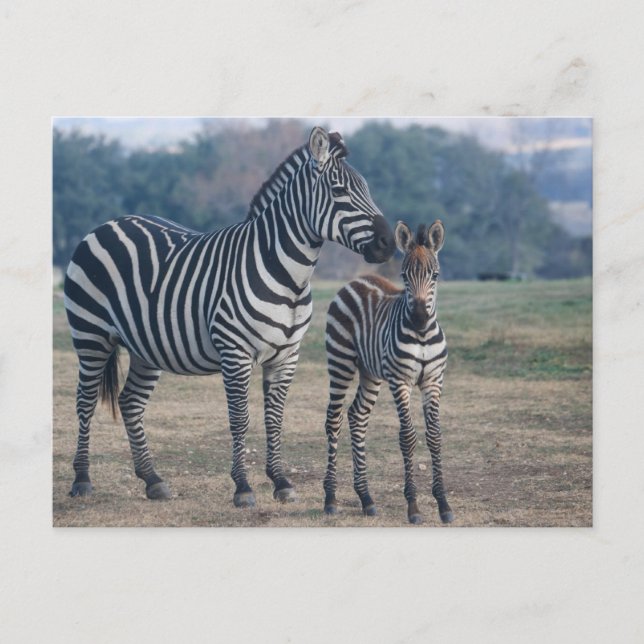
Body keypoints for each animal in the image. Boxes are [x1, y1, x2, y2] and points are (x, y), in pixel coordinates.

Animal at [64, 126, 395, 508]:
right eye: (340, 191)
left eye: (367, 189)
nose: (389, 243)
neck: (288, 275)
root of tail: (107, 224)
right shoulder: (235, 353)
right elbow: (240, 419)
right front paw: (243, 487)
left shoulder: (287, 356)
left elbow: (275, 418)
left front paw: (281, 481)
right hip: (90, 336)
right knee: (85, 401)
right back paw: (82, 479)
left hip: (145, 347)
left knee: (130, 403)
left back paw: (153, 480)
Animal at [322, 219, 453, 524]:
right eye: (404, 276)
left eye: (435, 275)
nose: (419, 318)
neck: (422, 336)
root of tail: (356, 281)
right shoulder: (400, 381)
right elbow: (407, 437)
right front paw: (413, 507)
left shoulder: (433, 381)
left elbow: (434, 436)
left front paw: (443, 504)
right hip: (340, 362)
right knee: (334, 420)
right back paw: (331, 498)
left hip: (370, 372)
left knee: (357, 416)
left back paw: (366, 498)